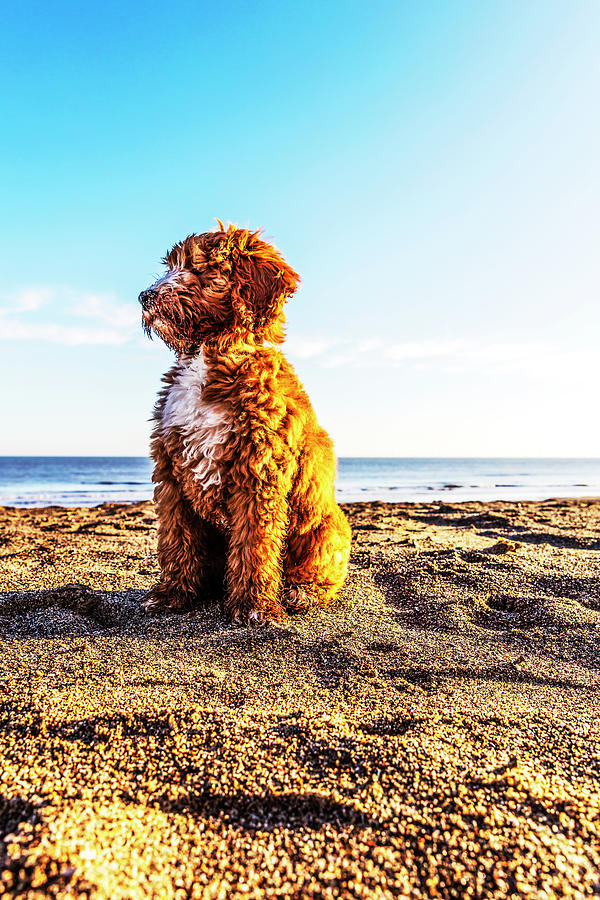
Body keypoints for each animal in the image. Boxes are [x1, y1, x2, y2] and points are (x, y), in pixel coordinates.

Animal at [139, 221, 352, 624]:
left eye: (202, 268)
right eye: (170, 265)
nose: (144, 296)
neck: (210, 354)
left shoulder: (258, 472)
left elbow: (255, 545)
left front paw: (254, 606)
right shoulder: (171, 473)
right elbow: (176, 538)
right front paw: (173, 593)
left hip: (325, 532)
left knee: (321, 572)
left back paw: (300, 591)